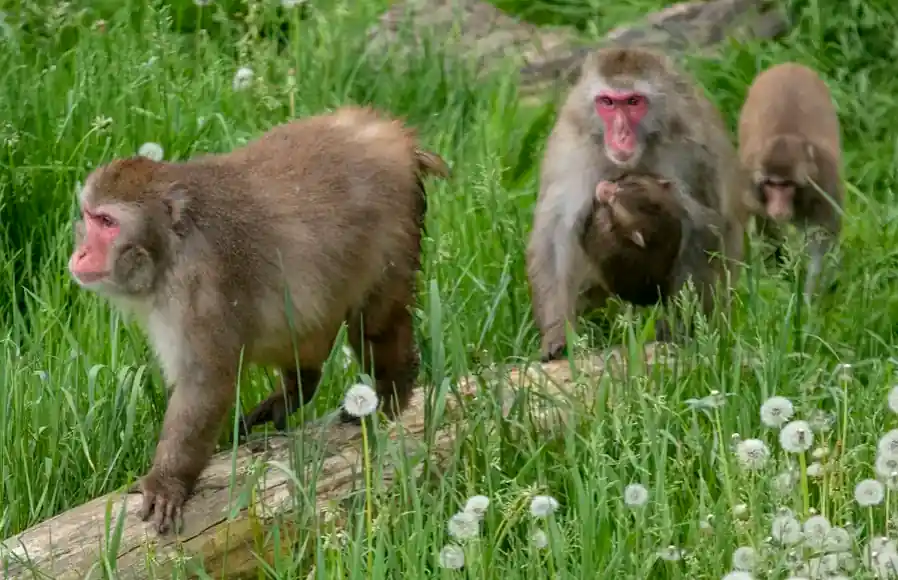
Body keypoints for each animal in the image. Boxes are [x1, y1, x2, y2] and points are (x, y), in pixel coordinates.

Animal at [67, 106, 449, 534]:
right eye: (89, 217)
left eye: (108, 222)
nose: (80, 253)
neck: (170, 247)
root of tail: (392, 135)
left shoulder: (199, 287)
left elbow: (206, 383)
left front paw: (169, 479)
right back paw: (298, 388)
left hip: (393, 230)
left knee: (376, 320)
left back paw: (390, 393)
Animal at [526, 45, 754, 361]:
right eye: (608, 102)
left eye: (633, 102)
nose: (621, 135)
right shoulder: (573, 147)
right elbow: (556, 230)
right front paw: (557, 333)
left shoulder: (690, 150)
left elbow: (704, 225)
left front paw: (681, 328)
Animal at [737, 62, 843, 302]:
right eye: (771, 184)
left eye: (786, 185)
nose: (778, 207)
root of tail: (789, 65)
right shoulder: (750, 186)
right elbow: (763, 229)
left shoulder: (825, 187)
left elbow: (823, 240)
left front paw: (809, 299)